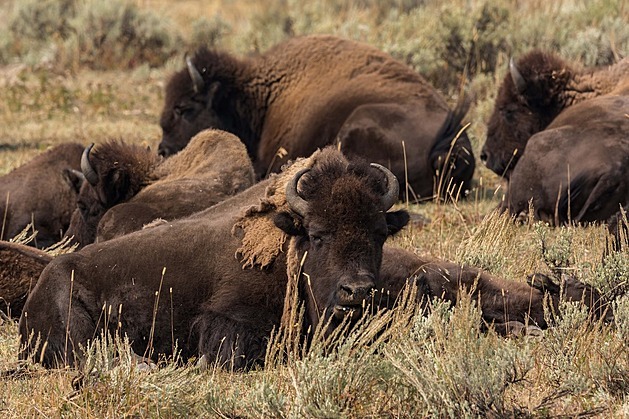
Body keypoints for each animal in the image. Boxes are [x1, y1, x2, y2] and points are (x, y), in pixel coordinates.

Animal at [18, 147, 408, 368]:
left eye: (379, 234)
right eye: (317, 235)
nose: (357, 291)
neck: (289, 245)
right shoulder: (225, 319)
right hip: (71, 315)